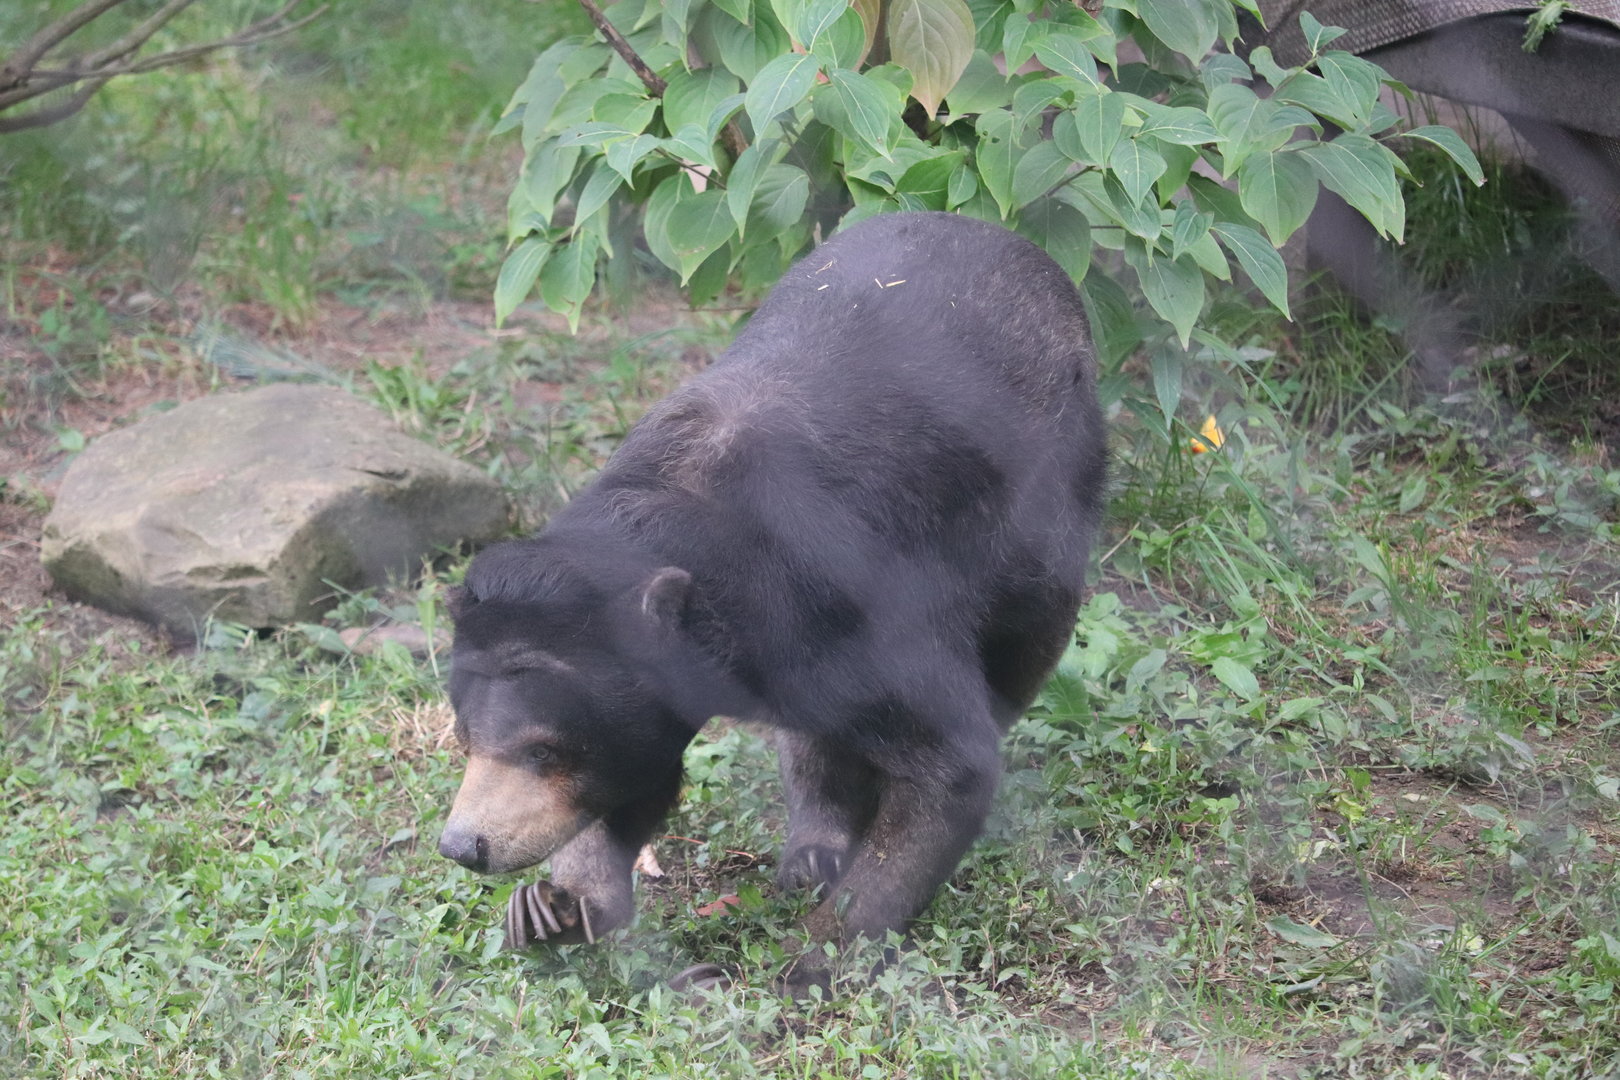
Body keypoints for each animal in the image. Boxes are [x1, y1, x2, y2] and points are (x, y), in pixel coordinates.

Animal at [438, 211, 1106, 976]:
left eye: (546, 750)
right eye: (464, 738)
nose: (464, 846)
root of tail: (1022, 248)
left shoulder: (859, 601)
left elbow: (952, 763)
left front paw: (814, 959)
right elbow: (639, 769)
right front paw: (556, 908)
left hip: (1049, 493)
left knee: (1025, 638)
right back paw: (813, 849)